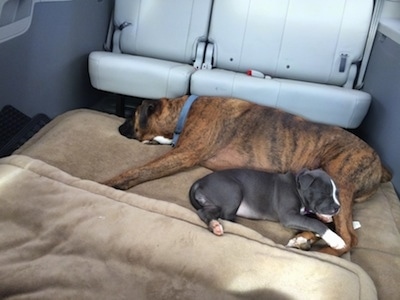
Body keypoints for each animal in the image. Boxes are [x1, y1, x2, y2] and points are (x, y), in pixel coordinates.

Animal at [189, 168, 346, 250]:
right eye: (325, 193)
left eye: (337, 193)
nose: (338, 207)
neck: (298, 187)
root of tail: (199, 182)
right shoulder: (289, 217)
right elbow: (313, 222)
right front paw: (335, 239)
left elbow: (311, 218)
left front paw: (324, 218)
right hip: (234, 190)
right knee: (224, 215)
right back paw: (218, 225)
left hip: (215, 202)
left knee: (206, 212)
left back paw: (215, 225)